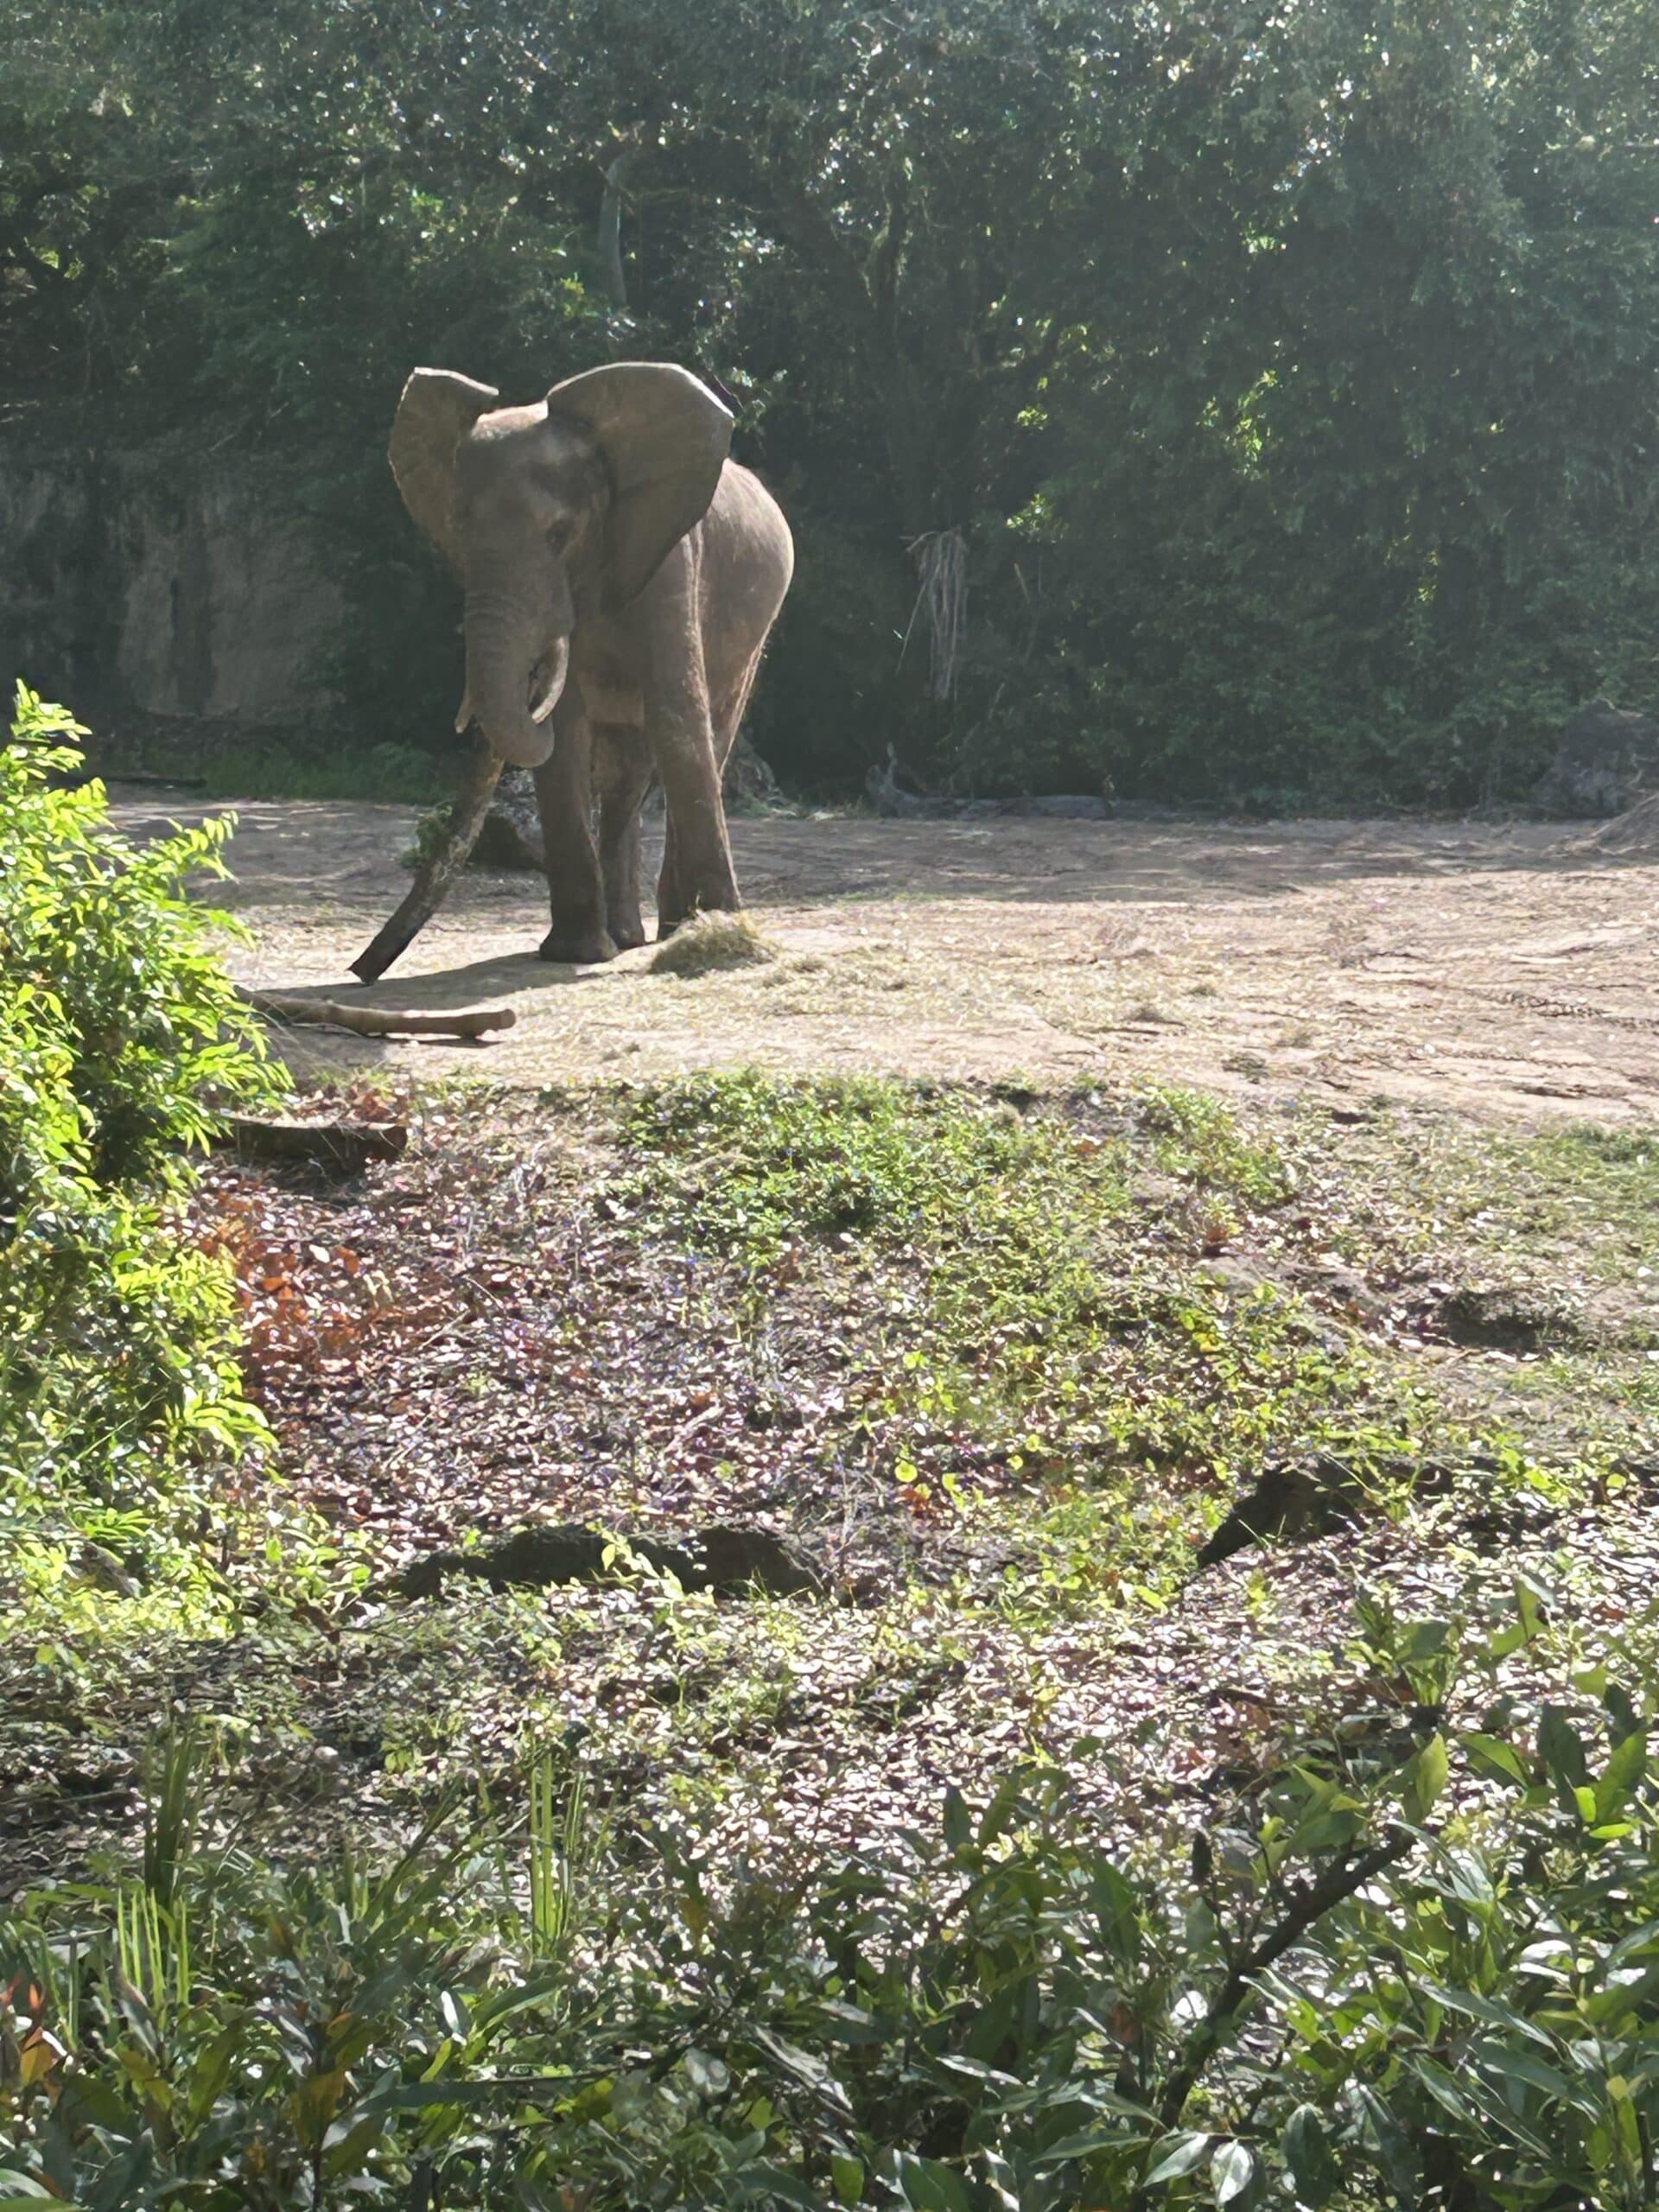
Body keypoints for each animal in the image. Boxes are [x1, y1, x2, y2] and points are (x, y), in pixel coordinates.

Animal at [389, 360, 793, 962]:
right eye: (458, 530)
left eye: (560, 534)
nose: (363, 971)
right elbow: (566, 735)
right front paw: (574, 954)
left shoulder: (669, 559)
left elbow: (675, 714)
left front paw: (722, 934)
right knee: (622, 779)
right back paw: (625, 937)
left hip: (754, 632)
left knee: (706, 740)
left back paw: (676, 927)